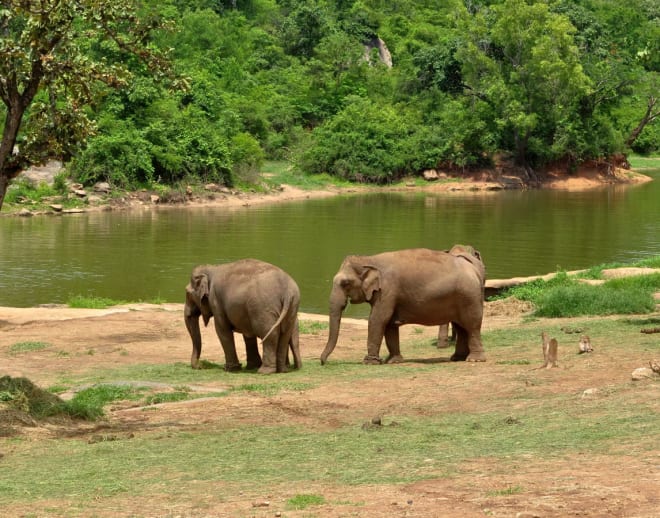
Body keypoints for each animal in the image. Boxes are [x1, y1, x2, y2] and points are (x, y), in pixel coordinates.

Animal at [322, 248, 488, 366]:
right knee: (461, 327)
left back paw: (475, 360)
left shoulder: (387, 291)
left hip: (469, 296)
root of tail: (474, 269)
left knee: (472, 325)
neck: (370, 258)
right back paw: (457, 358)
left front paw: (370, 362)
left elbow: (378, 319)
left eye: (345, 283)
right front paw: (393, 361)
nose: (322, 362)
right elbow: (389, 324)